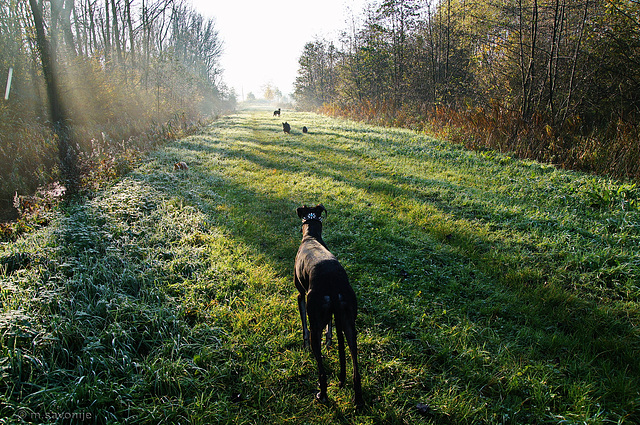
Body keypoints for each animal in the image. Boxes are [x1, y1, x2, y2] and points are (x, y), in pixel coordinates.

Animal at [294, 204, 362, 406]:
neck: (311, 237)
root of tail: (333, 283)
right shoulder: (333, 316)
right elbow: (331, 328)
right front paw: (330, 342)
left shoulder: (301, 296)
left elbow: (304, 327)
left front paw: (305, 346)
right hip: (349, 324)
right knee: (355, 367)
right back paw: (357, 399)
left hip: (315, 317)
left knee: (322, 371)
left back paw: (322, 394)